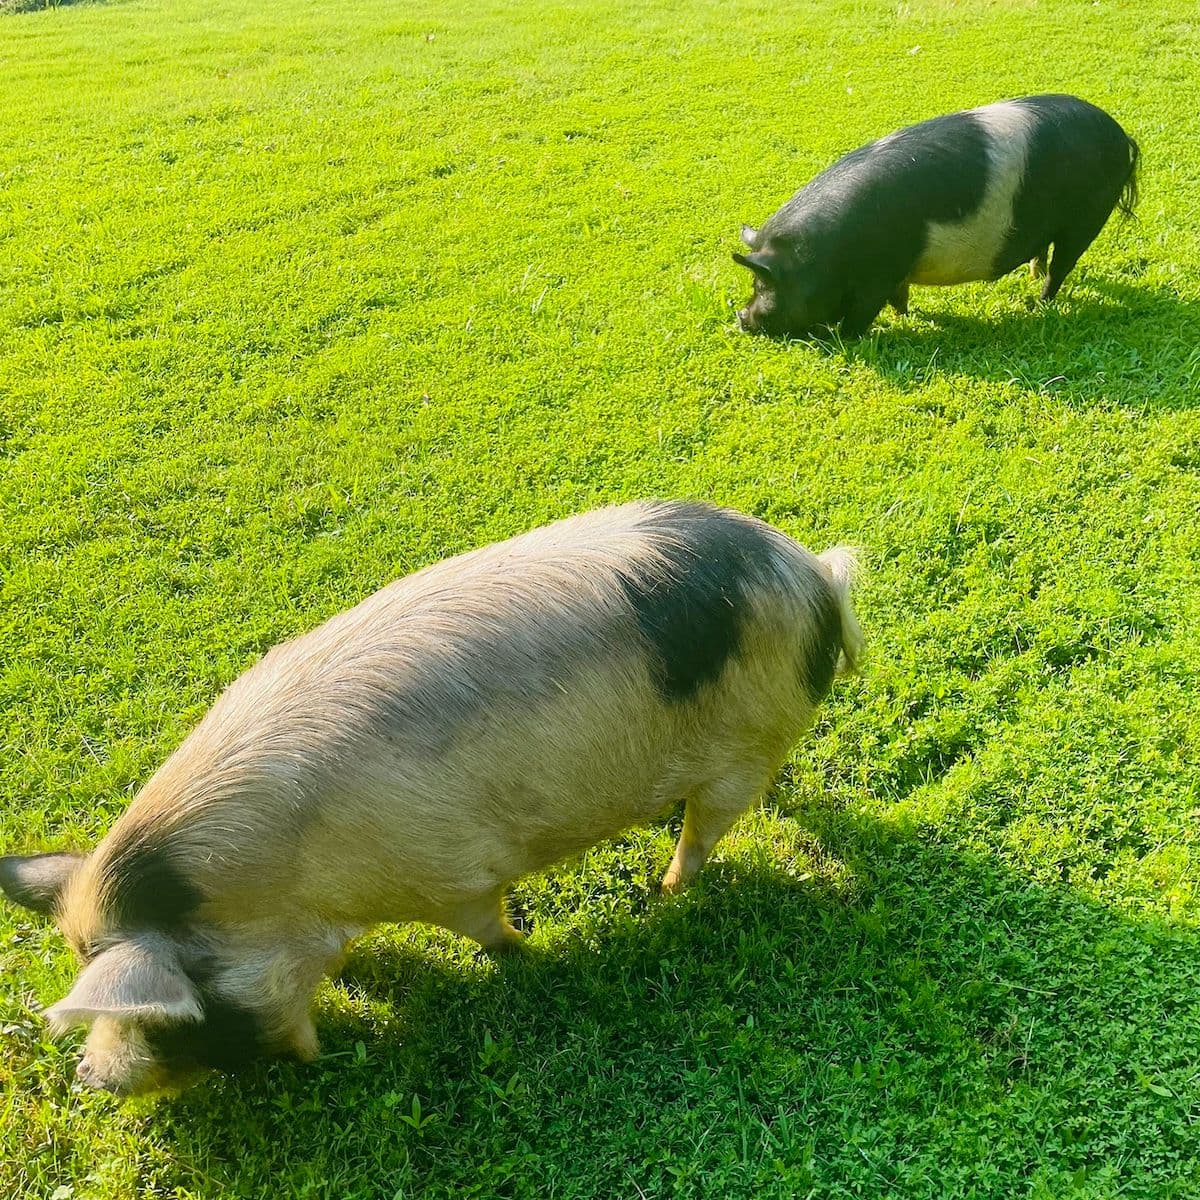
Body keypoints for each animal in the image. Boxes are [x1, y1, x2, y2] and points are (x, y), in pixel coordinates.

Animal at [0, 499, 864, 1099]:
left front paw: (527, 955)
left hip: (742, 743)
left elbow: (487, 927)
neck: (290, 890)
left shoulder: (453, 872)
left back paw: (666, 893)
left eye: (167, 1014)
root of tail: (813, 574)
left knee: (706, 831)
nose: (91, 1079)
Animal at [734, 91, 1137, 338]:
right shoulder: (895, 272)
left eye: (762, 283)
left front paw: (852, 336)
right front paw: (908, 317)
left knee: (1062, 266)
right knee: (1045, 253)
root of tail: (1121, 135)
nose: (741, 317)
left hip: (1087, 217)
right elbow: (900, 298)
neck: (826, 258)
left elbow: (863, 315)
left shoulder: (877, 277)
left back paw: (1038, 304)